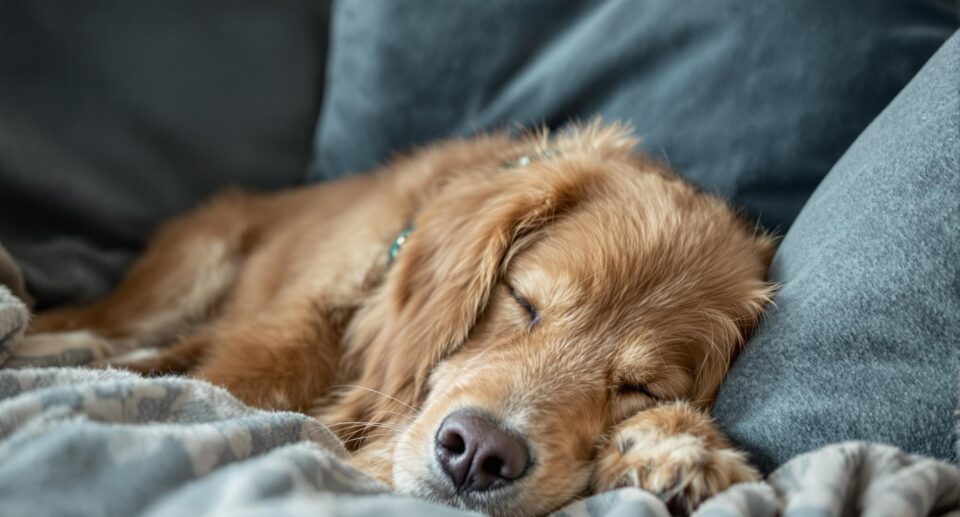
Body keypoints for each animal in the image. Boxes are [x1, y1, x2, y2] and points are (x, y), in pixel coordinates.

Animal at [28, 122, 780, 516]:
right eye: (523, 301)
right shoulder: (278, 340)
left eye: (642, 387)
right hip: (190, 270)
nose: (478, 452)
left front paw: (673, 448)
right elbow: (241, 380)